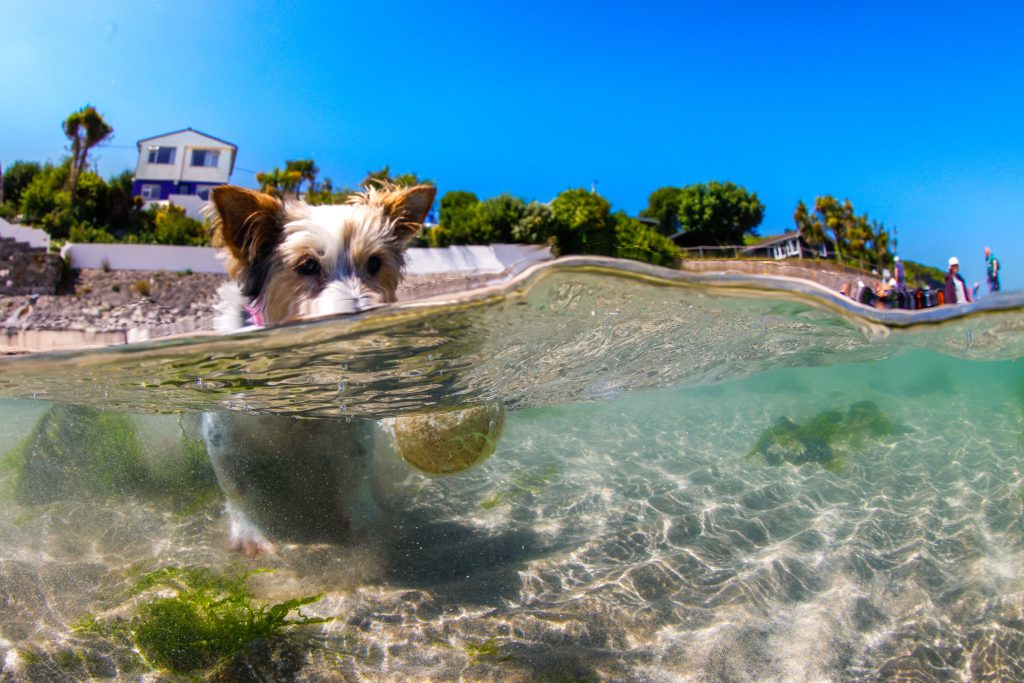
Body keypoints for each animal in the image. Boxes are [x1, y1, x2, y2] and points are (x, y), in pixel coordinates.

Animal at [201, 181, 438, 557]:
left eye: (374, 263)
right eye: (308, 265)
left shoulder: (354, 428)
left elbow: (356, 473)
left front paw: (364, 519)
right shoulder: (223, 431)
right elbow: (236, 485)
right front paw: (251, 533)